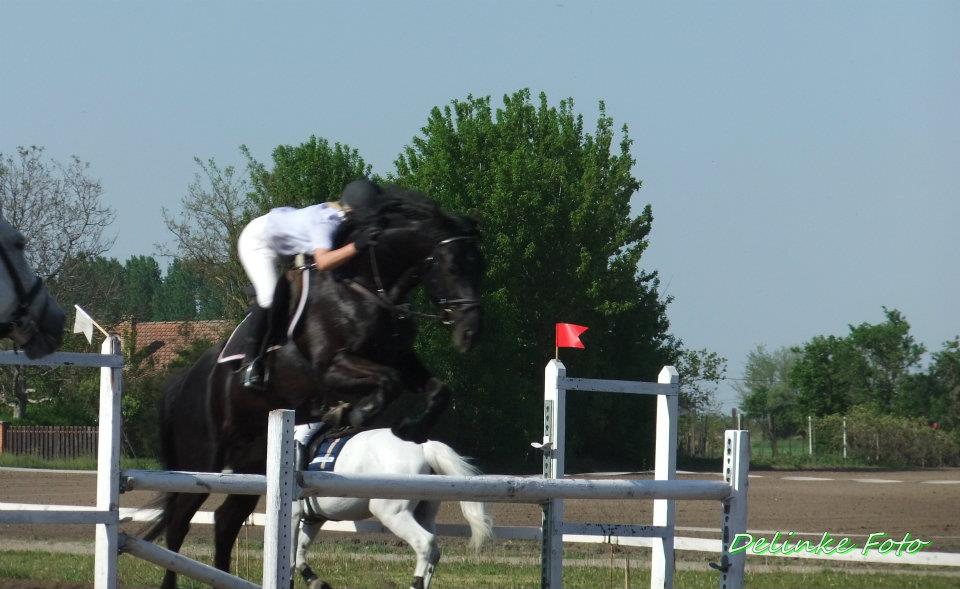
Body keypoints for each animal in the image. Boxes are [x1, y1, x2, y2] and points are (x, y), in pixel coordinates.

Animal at [295, 428, 493, 589]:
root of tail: (423, 448)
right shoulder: (313, 520)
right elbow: (298, 553)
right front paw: (315, 581)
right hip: (423, 514)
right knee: (435, 551)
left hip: (393, 514)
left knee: (424, 542)